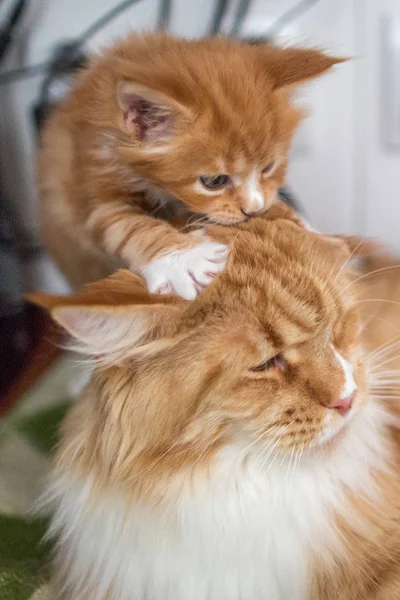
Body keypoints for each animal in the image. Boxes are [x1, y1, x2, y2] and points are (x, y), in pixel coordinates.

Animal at [38, 32, 344, 298]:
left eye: (268, 167)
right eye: (214, 181)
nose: (253, 209)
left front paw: (301, 224)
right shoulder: (91, 189)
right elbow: (128, 225)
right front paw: (182, 260)